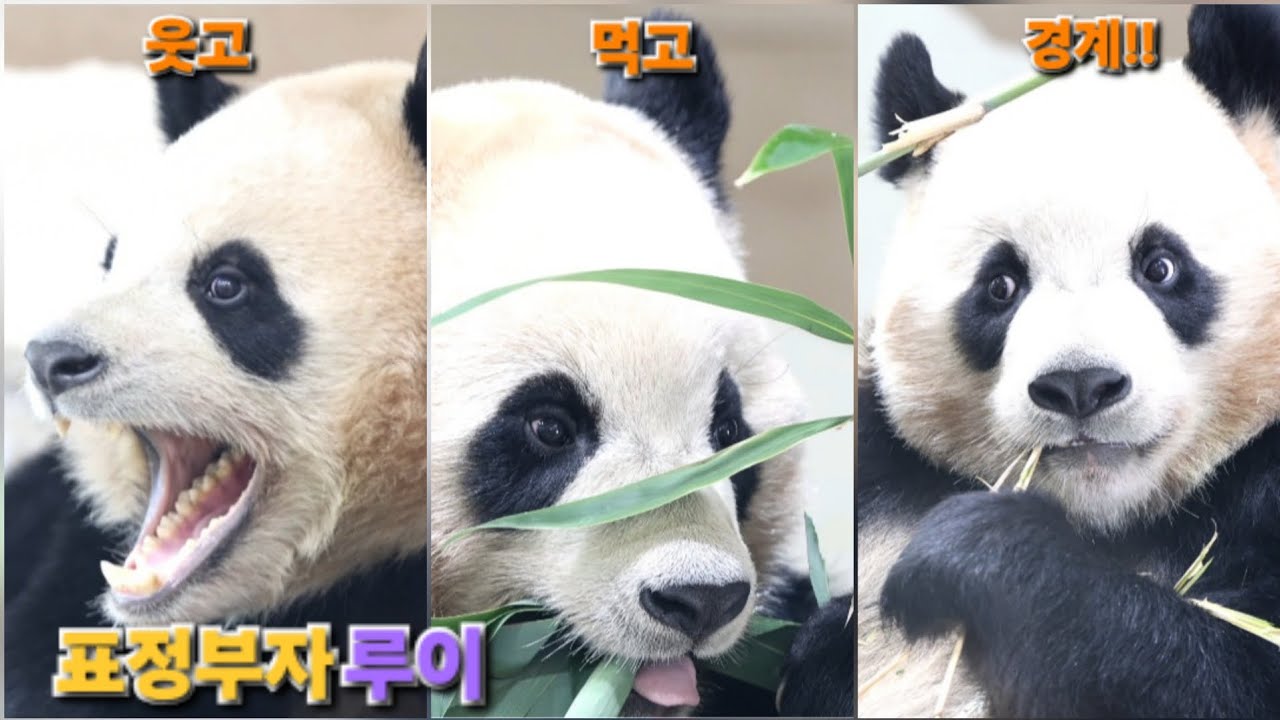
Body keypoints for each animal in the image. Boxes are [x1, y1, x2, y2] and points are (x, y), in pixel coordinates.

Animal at [857, 5, 1280, 718]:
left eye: (1161, 266)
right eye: (1001, 285)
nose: (1079, 385)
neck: (1107, 521)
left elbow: (1224, 672)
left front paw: (973, 555)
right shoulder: (883, 485)